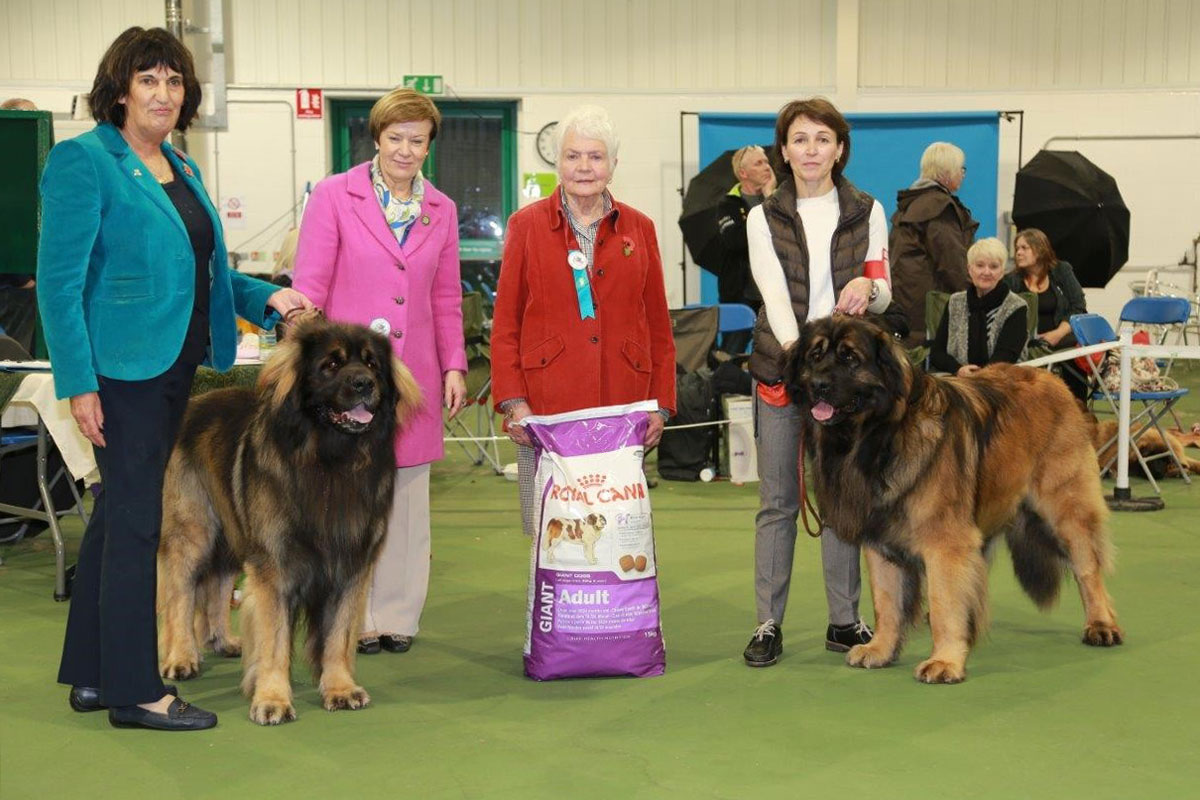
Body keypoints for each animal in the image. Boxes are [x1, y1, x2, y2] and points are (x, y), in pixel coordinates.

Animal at [157, 319, 422, 724]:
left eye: (372, 364)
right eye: (331, 365)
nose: (365, 384)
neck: (330, 463)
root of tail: (195, 404)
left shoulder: (350, 565)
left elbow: (337, 634)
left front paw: (340, 688)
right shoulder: (275, 566)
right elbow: (275, 640)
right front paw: (272, 698)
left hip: (233, 532)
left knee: (217, 583)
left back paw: (222, 640)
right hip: (193, 531)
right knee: (180, 594)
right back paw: (181, 656)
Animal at [782, 316, 1118, 686]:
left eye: (850, 358)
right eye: (814, 356)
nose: (818, 384)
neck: (880, 436)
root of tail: (1055, 381)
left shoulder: (945, 542)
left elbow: (945, 601)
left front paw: (944, 660)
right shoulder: (881, 541)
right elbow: (887, 602)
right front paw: (881, 648)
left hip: (1066, 510)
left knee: (1088, 568)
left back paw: (1101, 624)